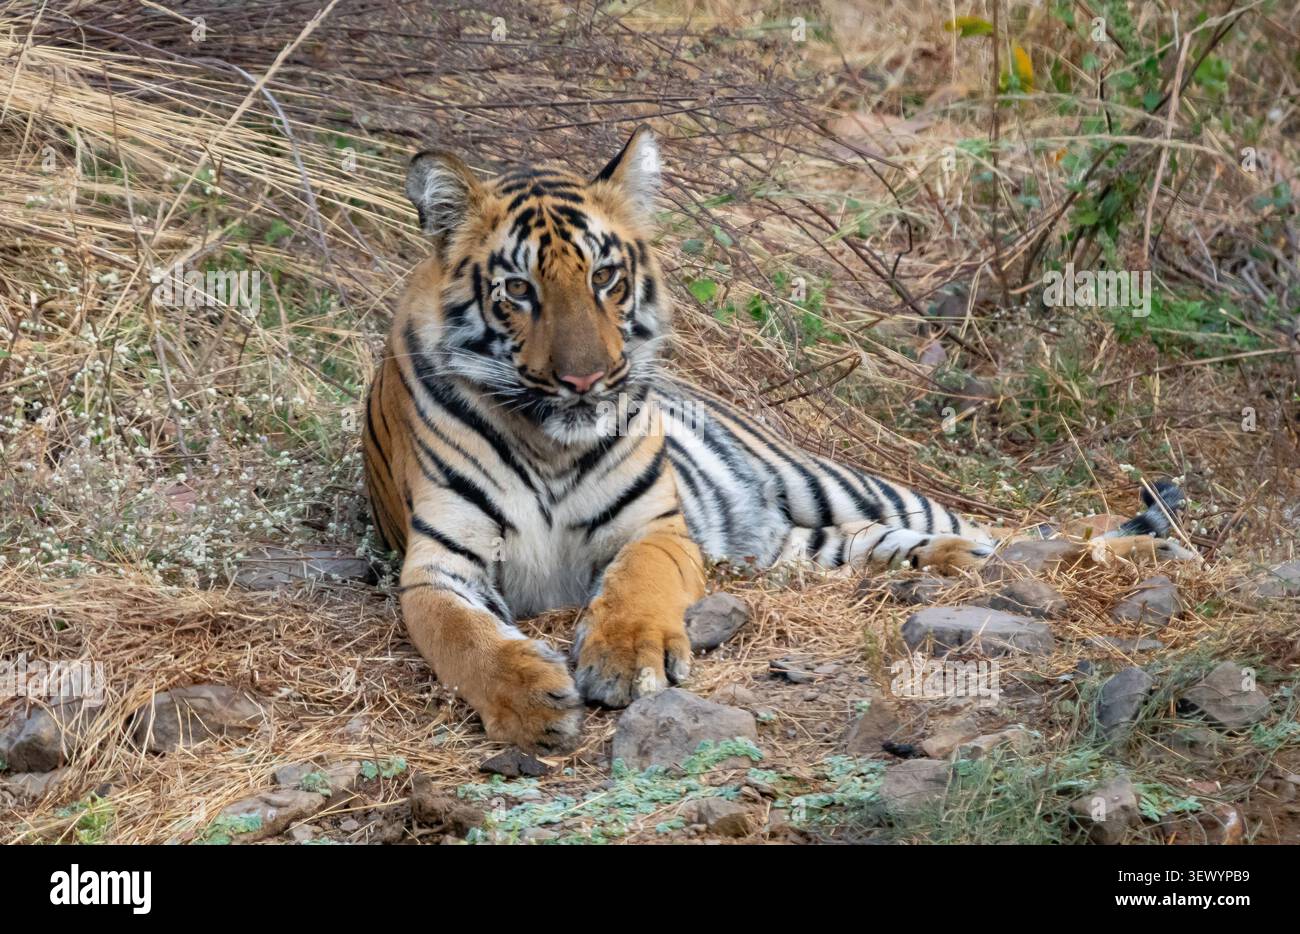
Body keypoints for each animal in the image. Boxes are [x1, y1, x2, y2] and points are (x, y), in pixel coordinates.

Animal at [363, 126, 1196, 753]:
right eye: (519, 290)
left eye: (604, 277)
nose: (587, 379)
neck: (550, 443)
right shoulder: (438, 565)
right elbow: (462, 637)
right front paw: (530, 699)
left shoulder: (656, 528)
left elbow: (637, 586)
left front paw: (627, 659)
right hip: (807, 541)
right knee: (917, 545)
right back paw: (966, 563)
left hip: (834, 480)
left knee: (1024, 531)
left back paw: (1153, 544)